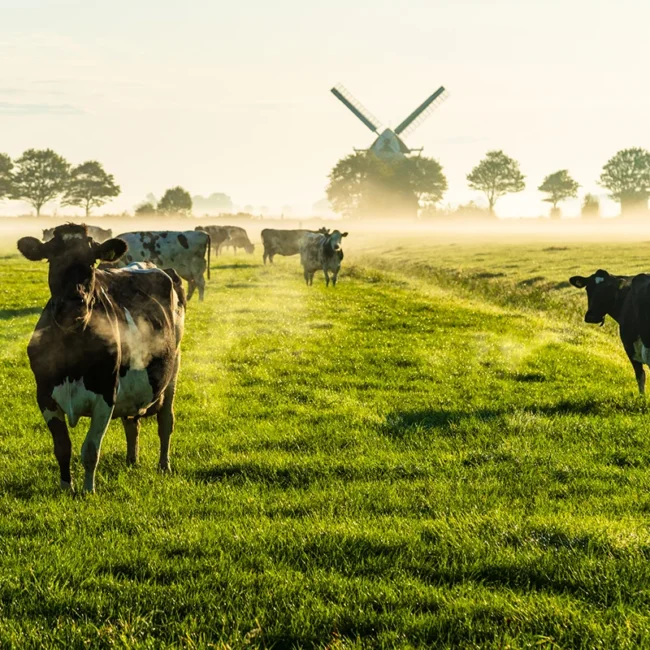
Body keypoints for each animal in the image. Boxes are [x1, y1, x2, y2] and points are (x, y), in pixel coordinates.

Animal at [17, 224, 186, 493]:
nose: (74, 304)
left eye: (92, 261)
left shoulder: (106, 395)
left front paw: (88, 491)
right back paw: (132, 461)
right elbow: (62, 448)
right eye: (52, 258)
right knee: (132, 422)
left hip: (174, 367)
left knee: (166, 421)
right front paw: (66, 488)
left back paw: (164, 466)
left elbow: (90, 450)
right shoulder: (44, 396)